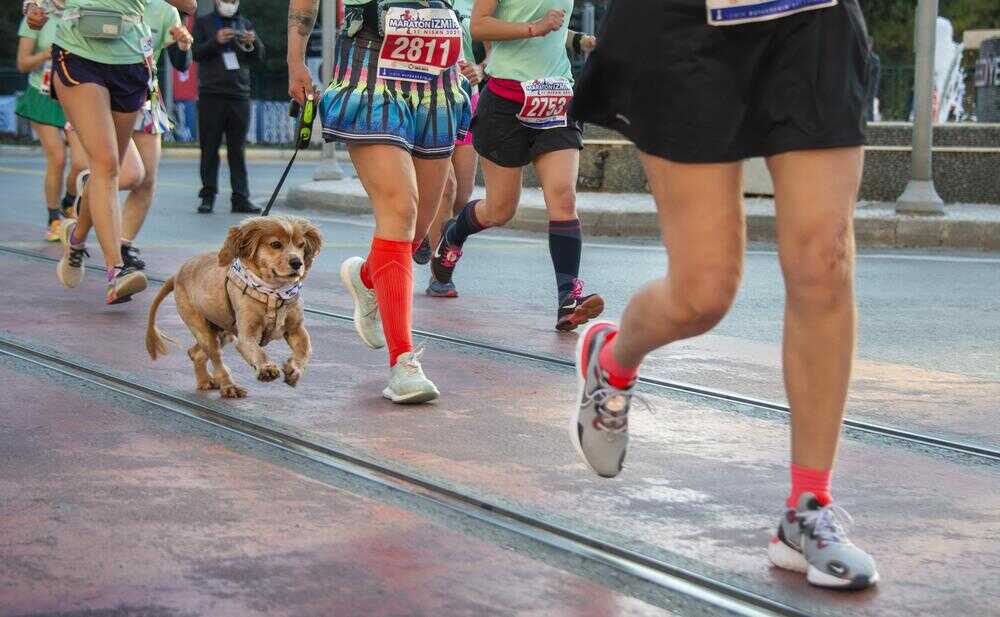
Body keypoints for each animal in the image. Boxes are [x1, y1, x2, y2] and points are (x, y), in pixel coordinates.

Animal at [146, 217, 320, 398]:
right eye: (276, 244)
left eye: (301, 245)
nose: (297, 263)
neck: (273, 293)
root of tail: (177, 274)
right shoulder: (246, 335)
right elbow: (257, 351)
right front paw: (266, 368)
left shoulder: (296, 329)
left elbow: (305, 349)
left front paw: (294, 369)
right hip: (203, 330)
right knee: (216, 359)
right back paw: (229, 387)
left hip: (222, 331)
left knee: (195, 353)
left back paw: (205, 381)